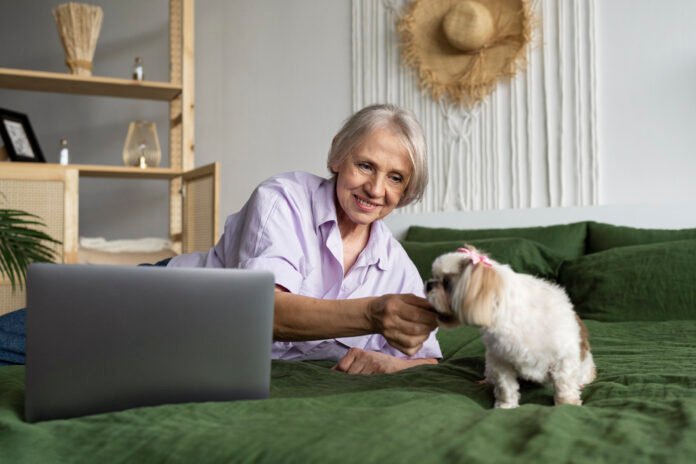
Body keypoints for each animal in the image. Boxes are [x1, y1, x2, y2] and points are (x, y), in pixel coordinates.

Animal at [426, 245, 596, 408]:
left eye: (446, 283)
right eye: (434, 276)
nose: (428, 284)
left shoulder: (563, 358)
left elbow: (564, 385)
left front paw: (567, 404)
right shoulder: (500, 360)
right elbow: (505, 387)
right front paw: (506, 405)